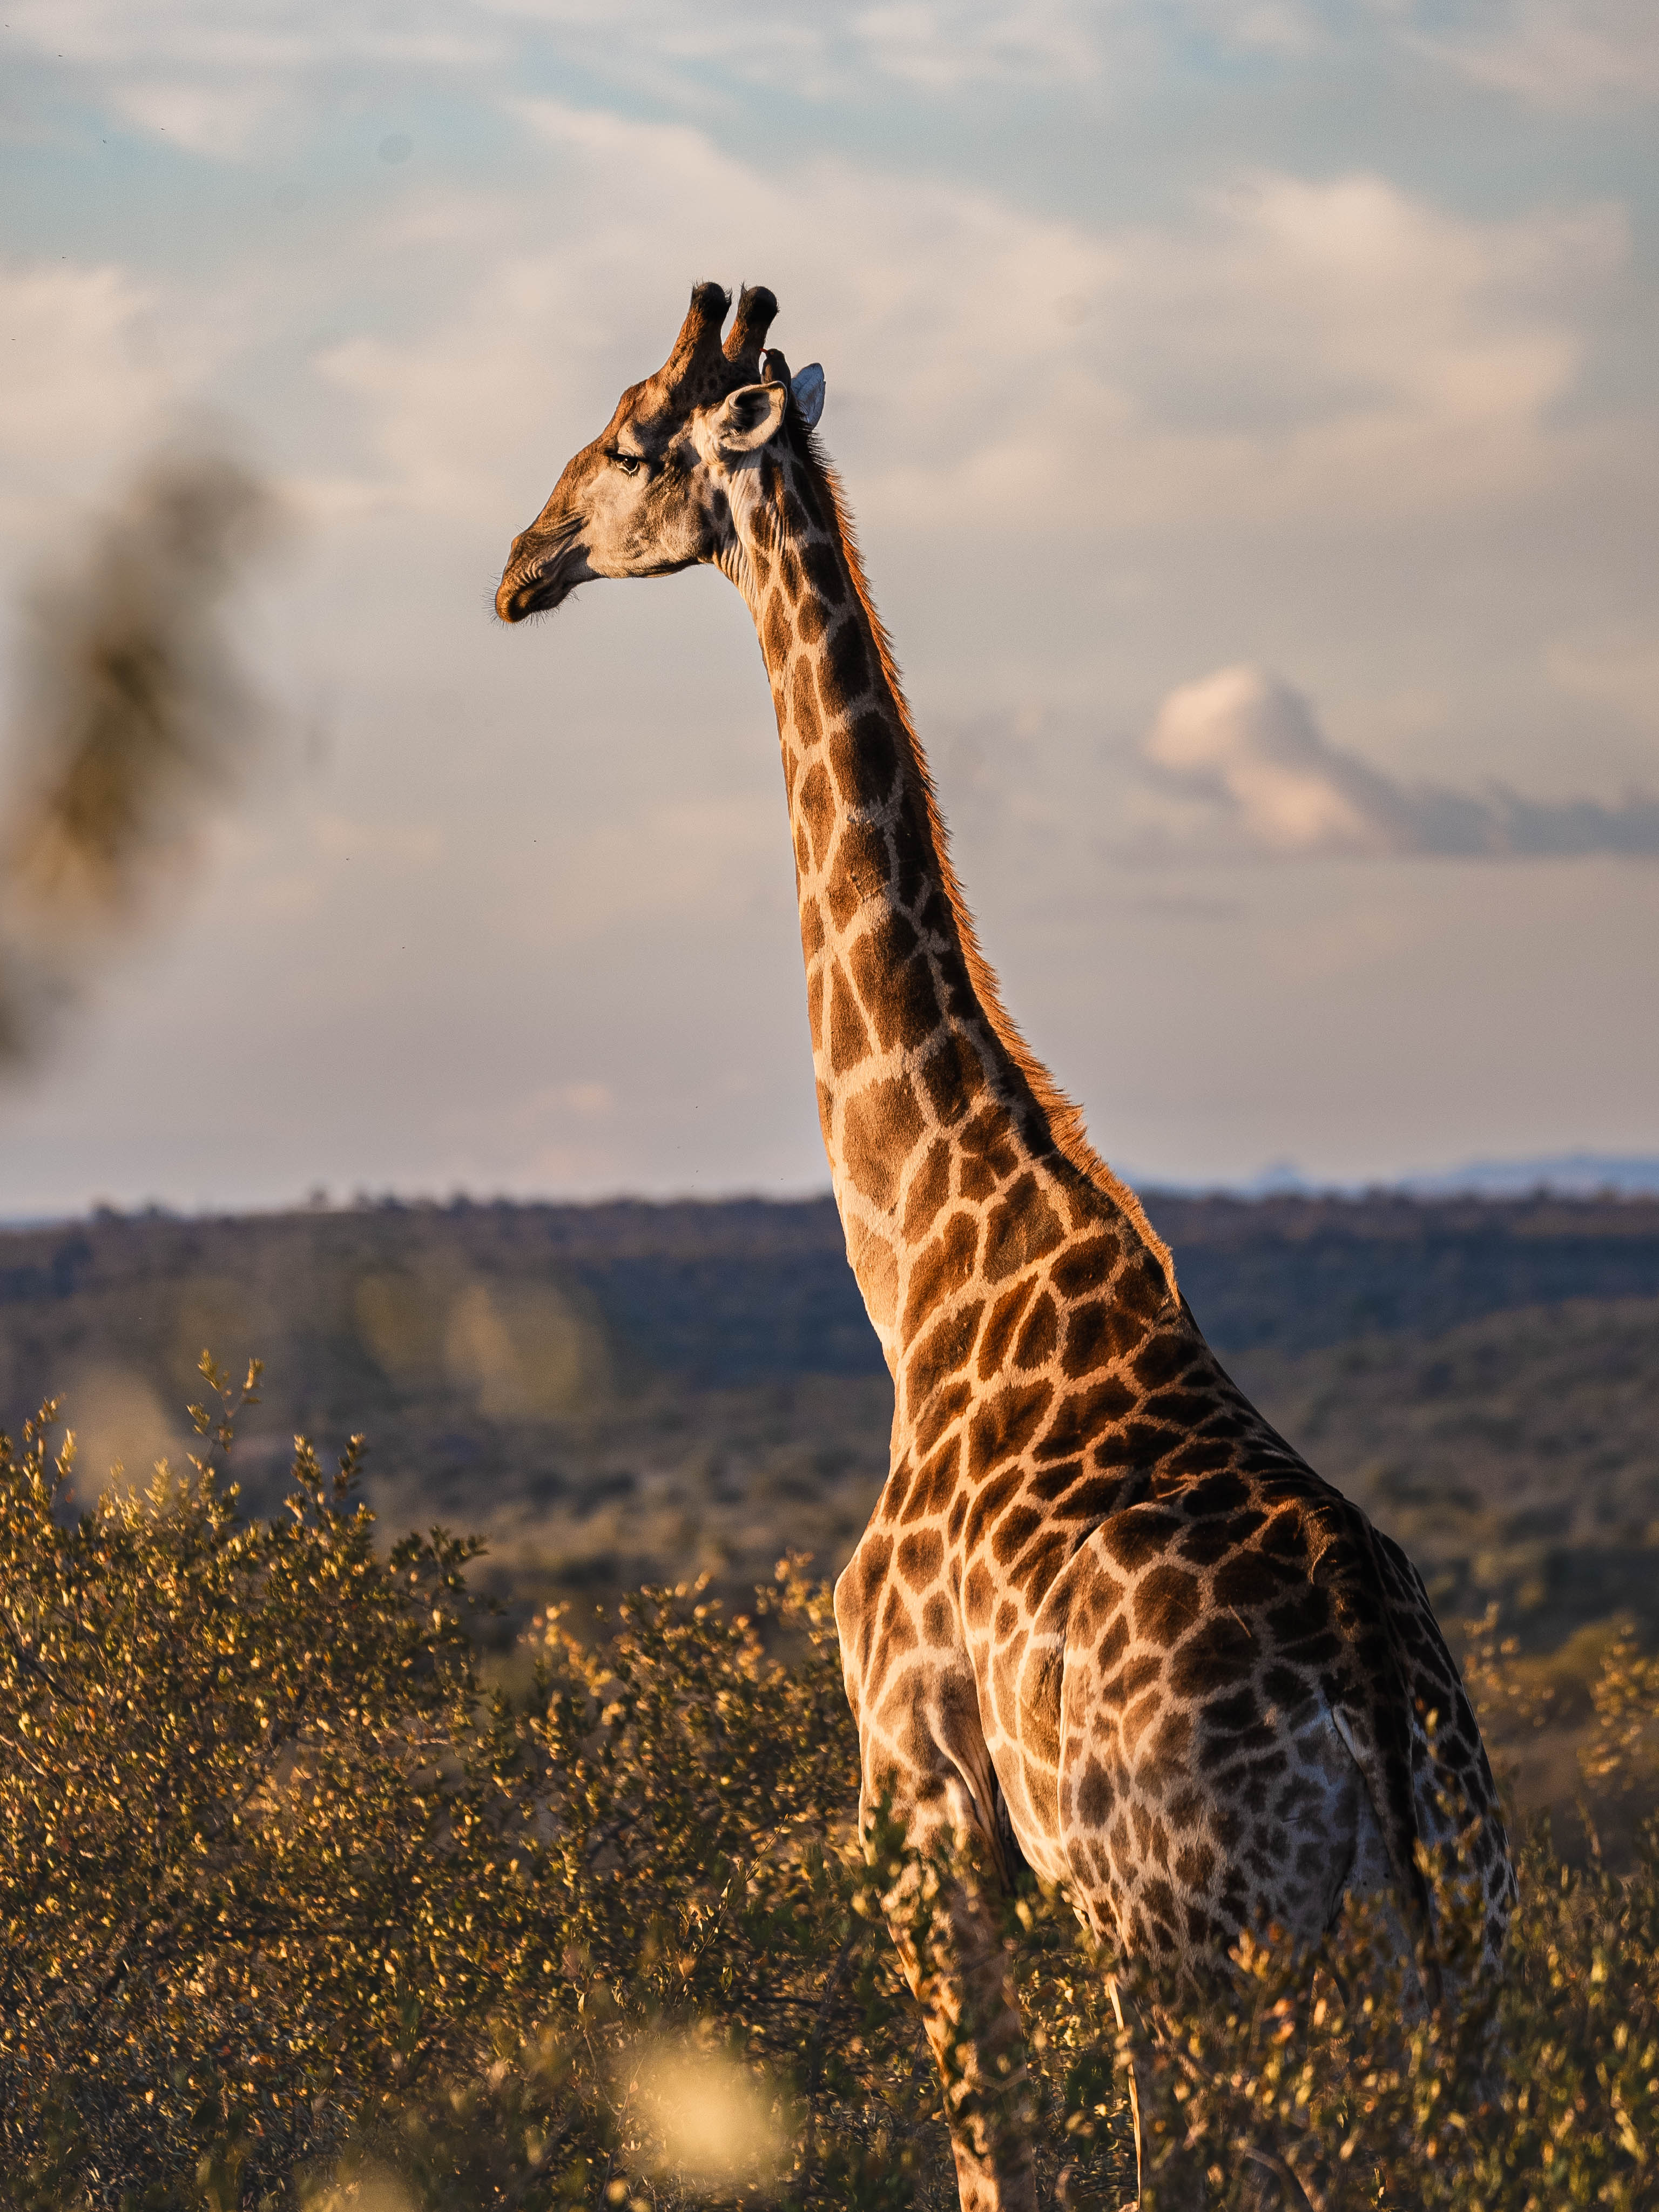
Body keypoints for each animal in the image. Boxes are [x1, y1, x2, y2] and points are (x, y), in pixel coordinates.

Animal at [496, 282, 1516, 2209]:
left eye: (632, 437)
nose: (519, 567)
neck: (930, 1259)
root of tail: (1375, 1716)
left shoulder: (921, 1815)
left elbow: (999, 2161)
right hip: (1453, 1960)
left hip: (1219, 1950)